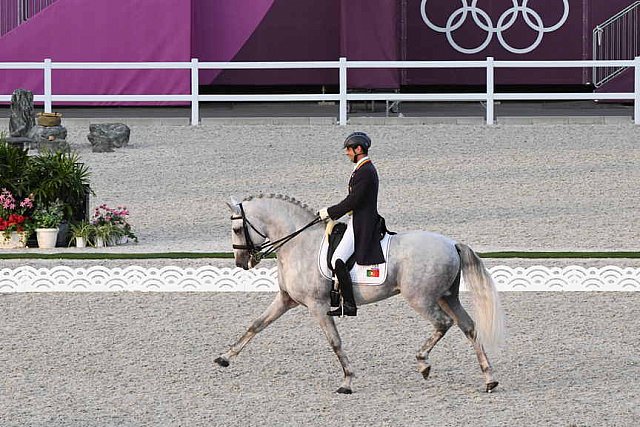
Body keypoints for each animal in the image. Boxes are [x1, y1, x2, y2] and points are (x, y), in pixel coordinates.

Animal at [216, 194, 504, 394]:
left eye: (237, 229)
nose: (241, 263)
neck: (298, 243)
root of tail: (452, 244)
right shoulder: (286, 299)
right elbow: (256, 325)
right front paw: (225, 358)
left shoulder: (317, 306)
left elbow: (335, 342)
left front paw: (347, 381)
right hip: (447, 297)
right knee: (469, 327)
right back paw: (489, 379)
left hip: (421, 298)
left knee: (443, 324)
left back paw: (424, 363)